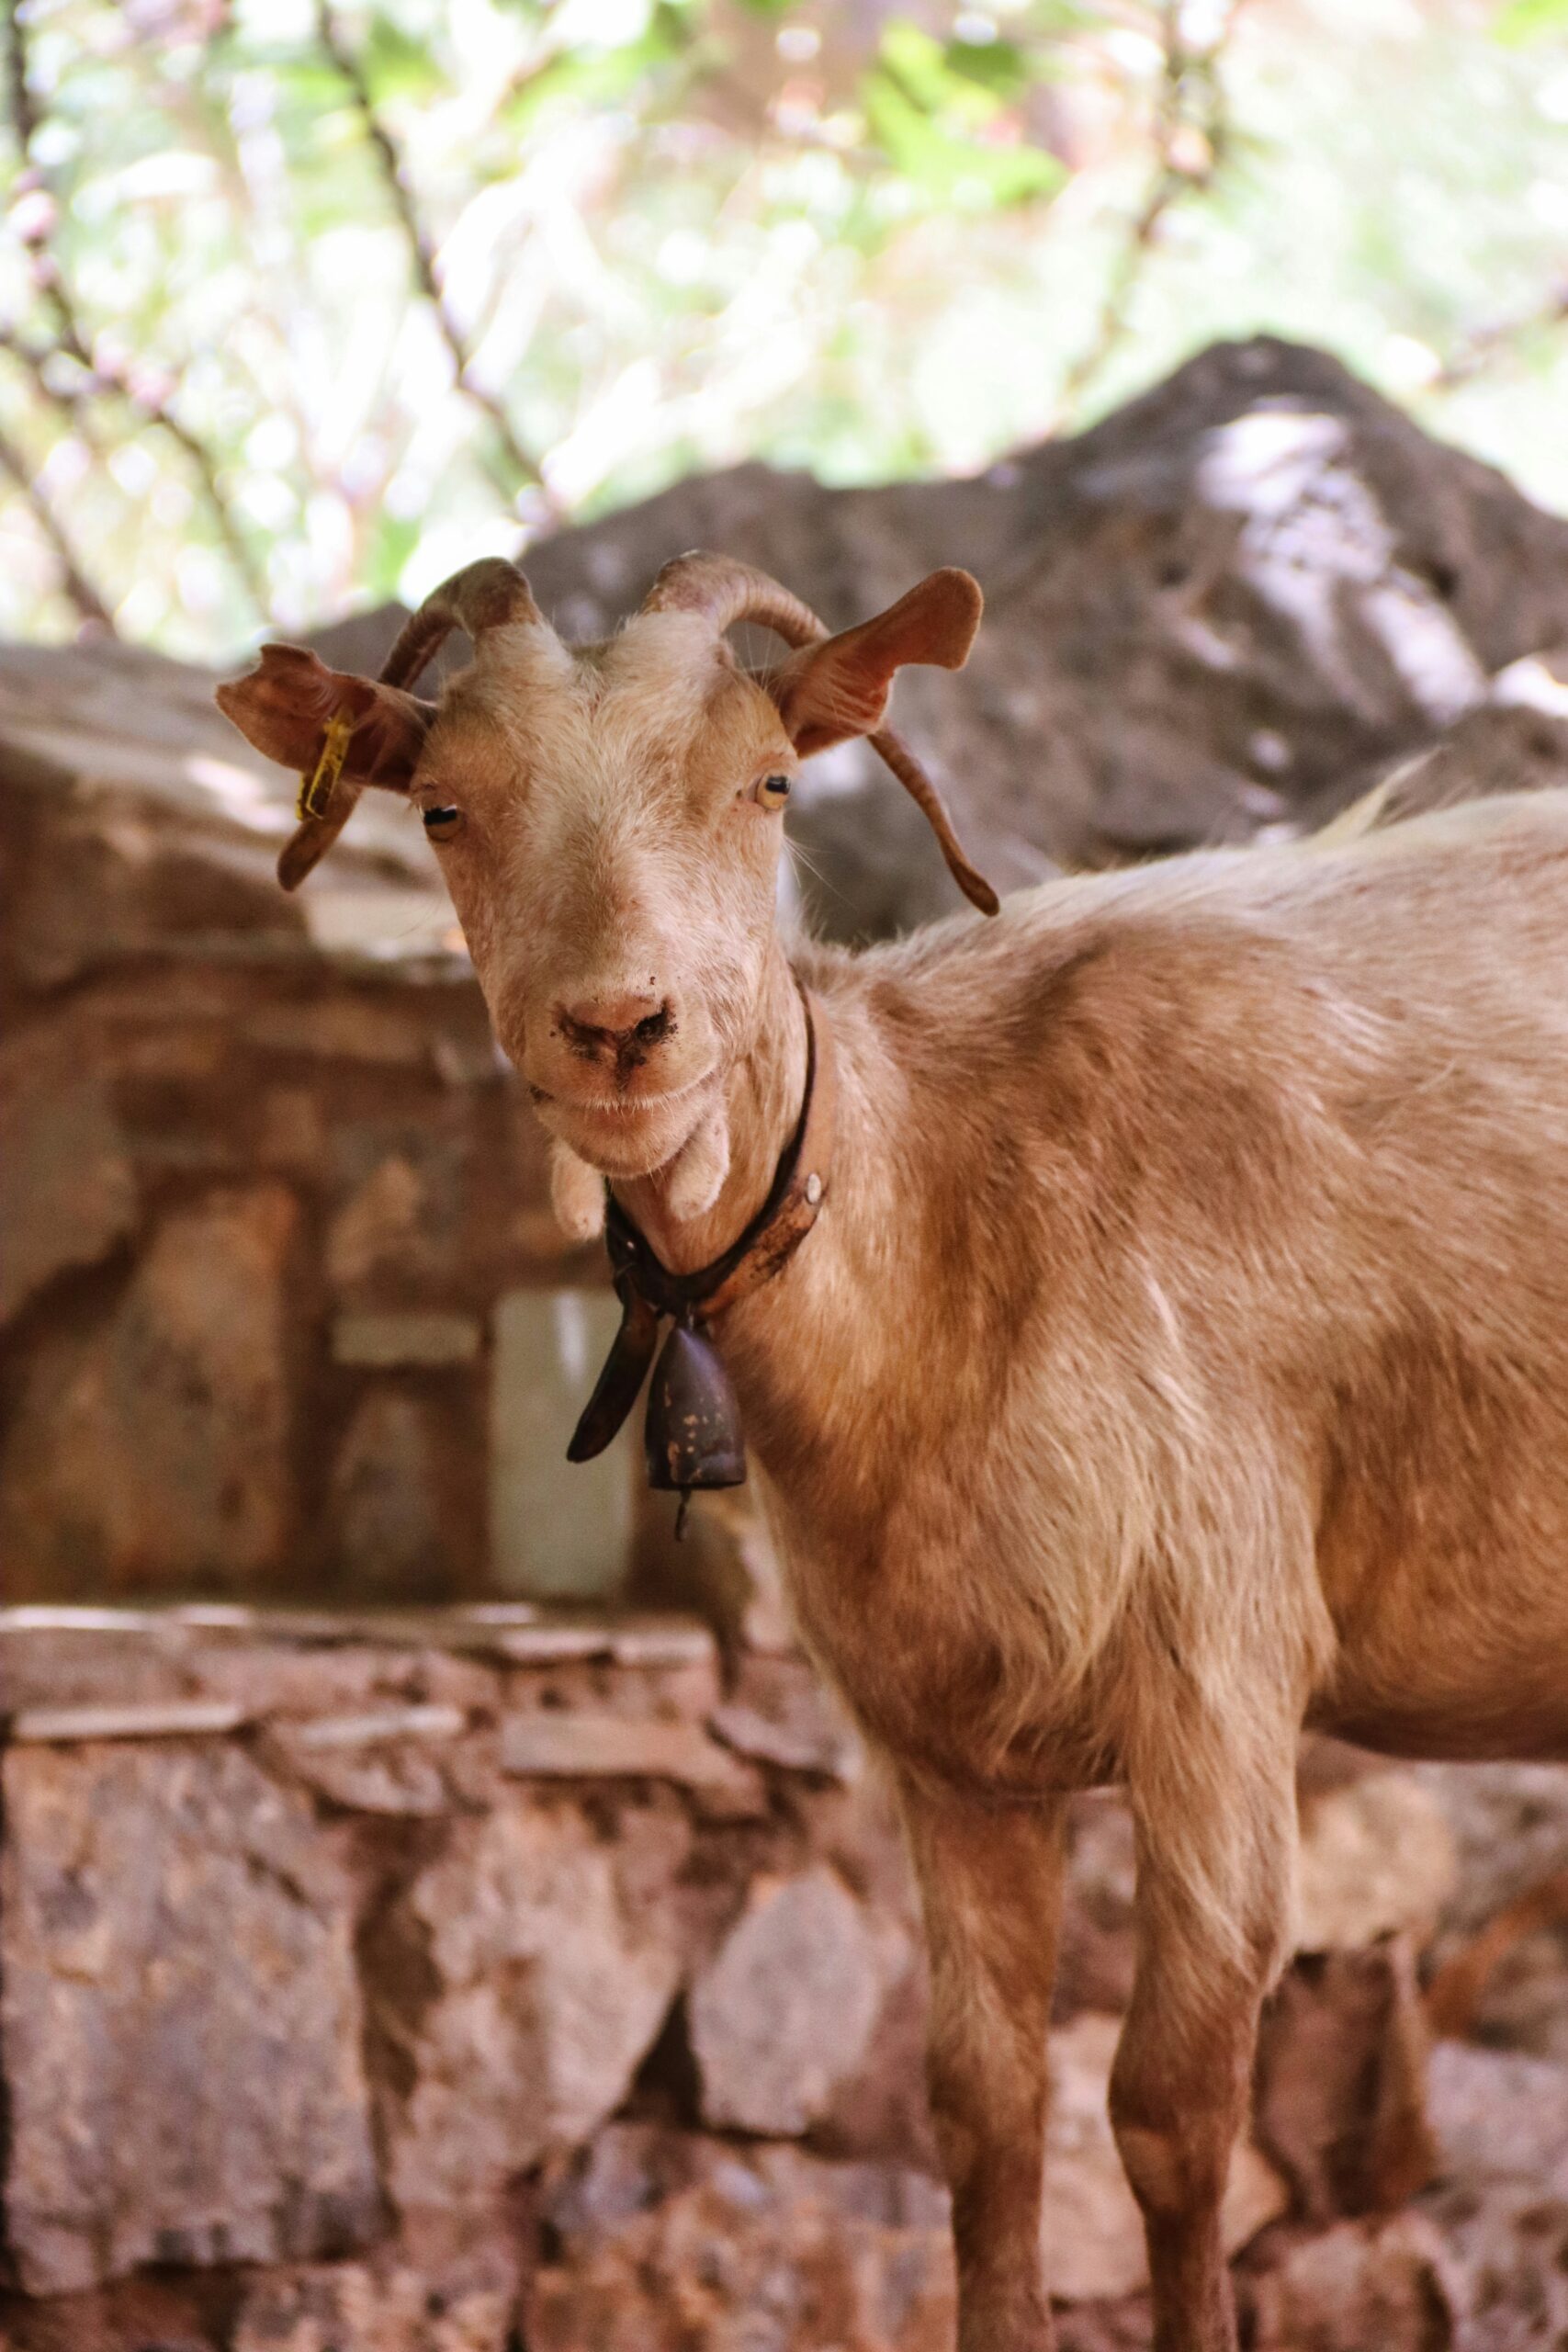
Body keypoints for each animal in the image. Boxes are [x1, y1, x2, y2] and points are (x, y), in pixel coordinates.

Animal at [219, 554, 1568, 2352]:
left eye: (768, 783)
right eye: (442, 807)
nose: (619, 1028)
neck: (946, 1207)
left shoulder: (1215, 1673)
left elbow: (1168, 2113)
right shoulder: (947, 1750)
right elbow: (982, 2112)